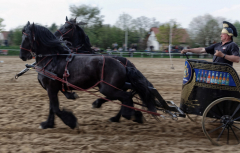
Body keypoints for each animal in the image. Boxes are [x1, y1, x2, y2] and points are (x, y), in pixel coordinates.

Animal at [19, 21, 157, 129]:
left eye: (26, 38)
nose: (22, 55)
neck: (52, 58)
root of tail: (123, 65)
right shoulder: (52, 89)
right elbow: (52, 107)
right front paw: (48, 124)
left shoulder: (51, 88)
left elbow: (56, 108)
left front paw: (71, 122)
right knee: (126, 98)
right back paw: (125, 115)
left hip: (108, 88)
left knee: (126, 97)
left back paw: (128, 114)